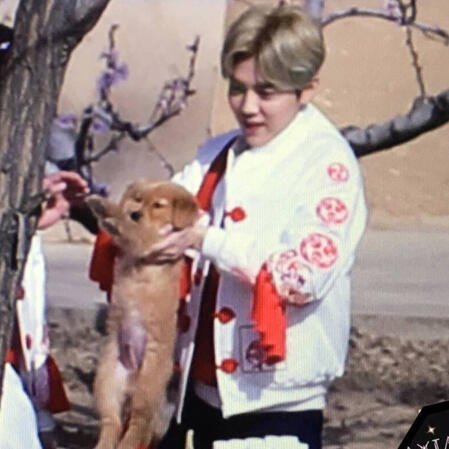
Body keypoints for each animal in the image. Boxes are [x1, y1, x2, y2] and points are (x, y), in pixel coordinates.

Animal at [86, 180, 199, 449]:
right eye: (138, 199)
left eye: (158, 205)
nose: (135, 213)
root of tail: (132, 377)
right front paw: (104, 209)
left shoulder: (147, 240)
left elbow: (129, 229)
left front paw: (109, 211)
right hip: (107, 382)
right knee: (112, 422)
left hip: (147, 390)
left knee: (139, 425)